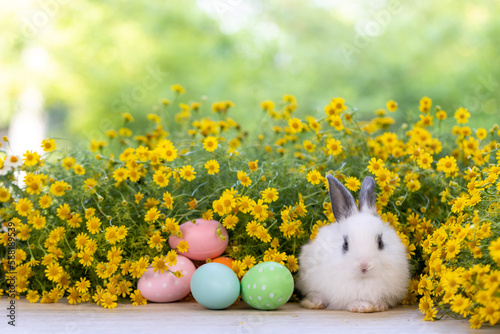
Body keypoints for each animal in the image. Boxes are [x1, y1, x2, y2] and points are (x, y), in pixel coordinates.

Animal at [296, 174, 410, 312]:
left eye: (380, 242)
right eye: (345, 244)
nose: (364, 265)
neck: (363, 280)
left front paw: (378, 306)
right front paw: (361, 306)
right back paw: (317, 303)